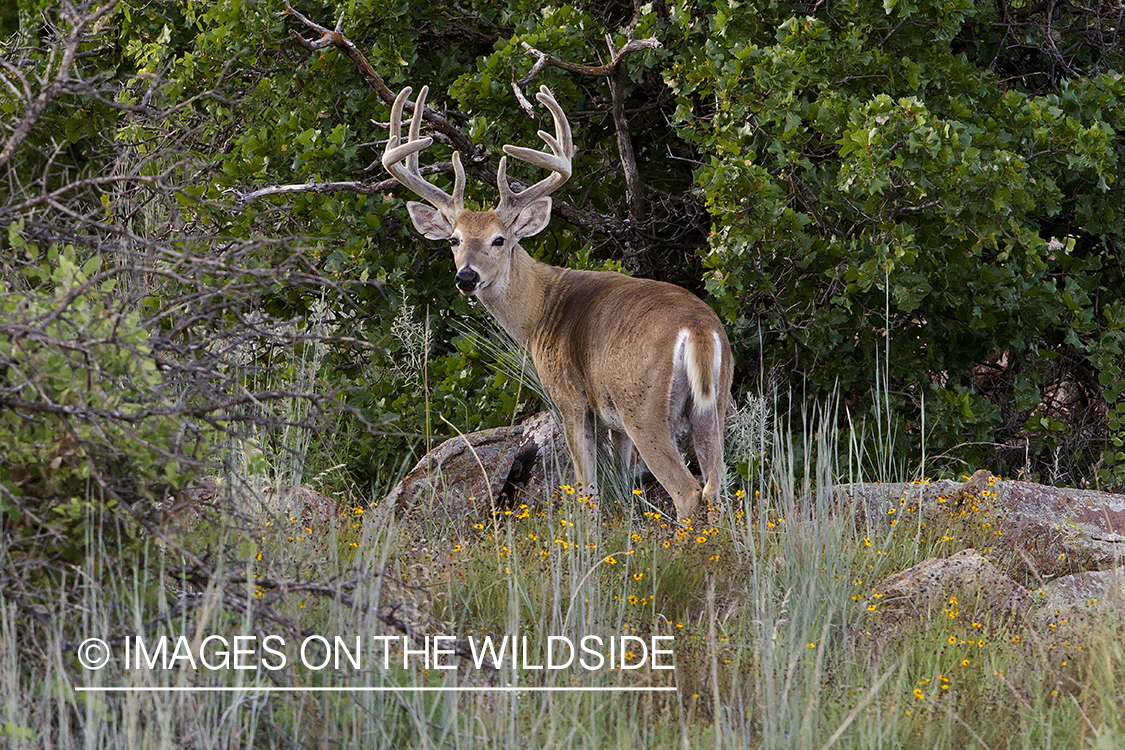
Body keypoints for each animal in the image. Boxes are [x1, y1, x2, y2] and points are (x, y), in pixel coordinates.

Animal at [382, 84, 733, 526]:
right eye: (454, 240)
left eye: (499, 239)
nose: (466, 278)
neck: (540, 312)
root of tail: (699, 329)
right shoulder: (613, 422)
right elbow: (623, 486)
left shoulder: (570, 399)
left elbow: (588, 491)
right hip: (714, 404)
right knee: (716, 488)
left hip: (643, 405)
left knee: (687, 491)